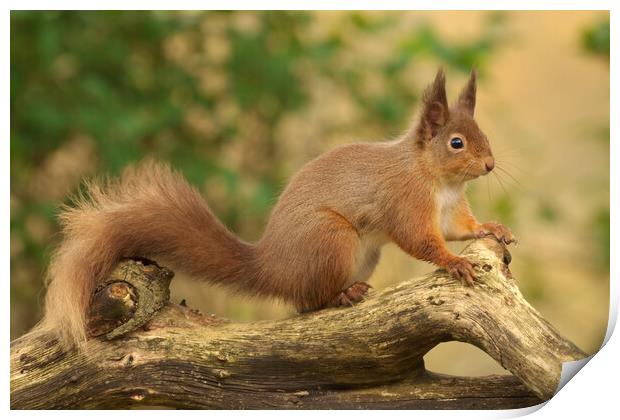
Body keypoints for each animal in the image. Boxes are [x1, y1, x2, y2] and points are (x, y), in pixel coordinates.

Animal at [40, 69, 512, 346]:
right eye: (456, 143)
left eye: (484, 134)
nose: (491, 164)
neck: (438, 180)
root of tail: (273, 267)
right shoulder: (405, 200)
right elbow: (422, 240)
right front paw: (455, 262)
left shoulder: (450, 209)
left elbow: (458, 228)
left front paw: (492, 229)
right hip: (332, 238)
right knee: (309, 303)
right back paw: (343, 295)